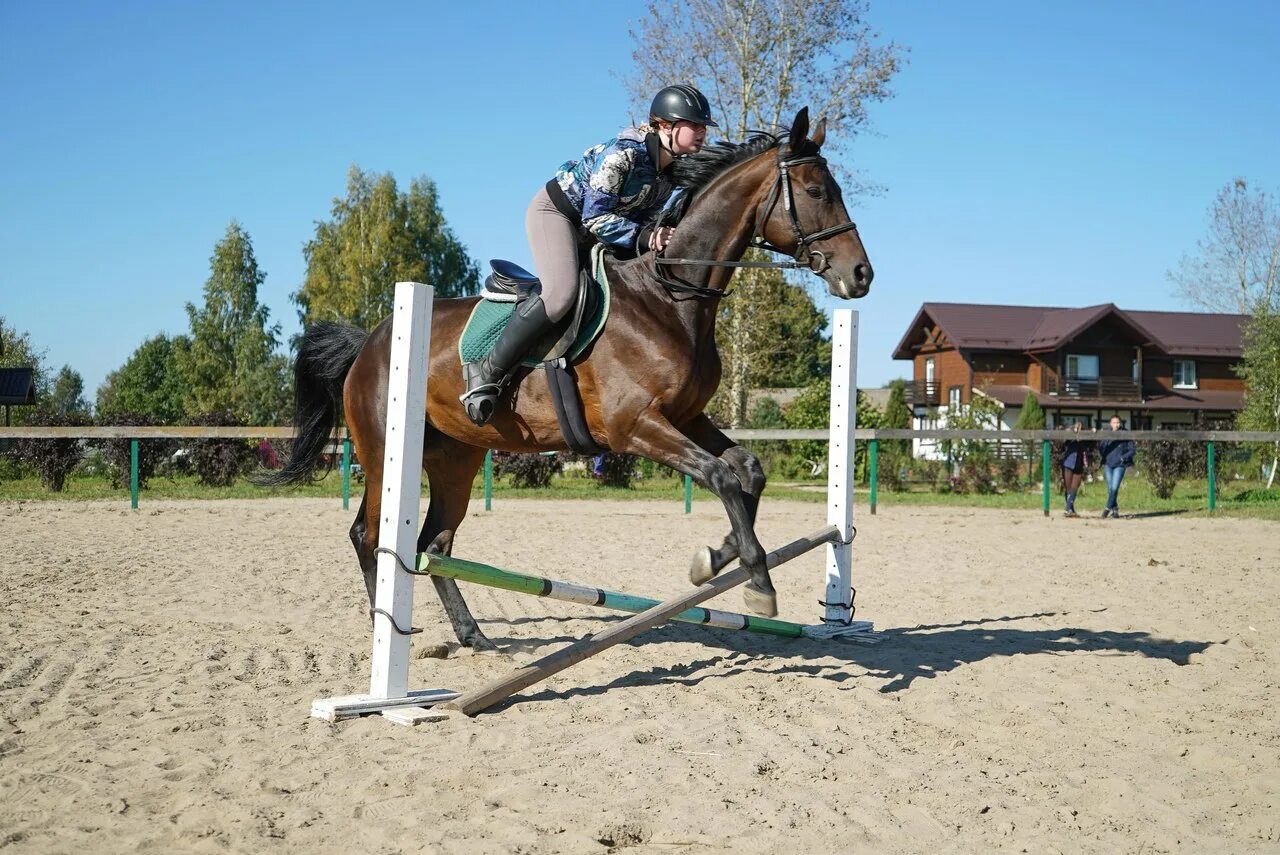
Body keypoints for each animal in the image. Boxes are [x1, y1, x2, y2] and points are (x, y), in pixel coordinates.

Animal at [266, 110, 875, 650]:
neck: (670, 299)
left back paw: (473, 634)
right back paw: (387, 630)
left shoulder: (684, 416)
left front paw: (714, 559)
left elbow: (747, 470)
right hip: (383, 451)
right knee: (371, 536)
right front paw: (757, 583)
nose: (861, 275)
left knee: (433, 542)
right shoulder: (634, 426)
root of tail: (369, 341)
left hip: (455, 457)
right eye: (817, 191)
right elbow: (722, 477)